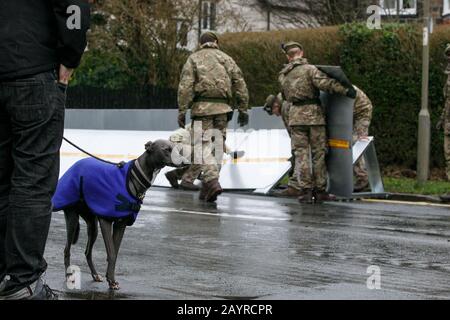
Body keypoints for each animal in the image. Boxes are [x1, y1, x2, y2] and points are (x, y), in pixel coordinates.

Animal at [51, 139, 181, 290]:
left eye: (176, 148)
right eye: (166, 149)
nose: (185, 162)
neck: (133, 177)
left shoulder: (121, 224)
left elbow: (114, 252)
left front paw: (110, 278)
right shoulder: (106, 220)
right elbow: (112, 253)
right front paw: (112, 281)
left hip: (92, 226)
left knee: (87, 252)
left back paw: (95, 275)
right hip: (72, 220)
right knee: (67, 249)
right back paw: (68, 277)